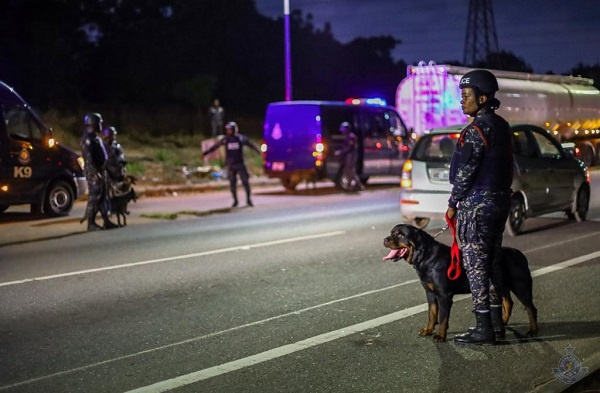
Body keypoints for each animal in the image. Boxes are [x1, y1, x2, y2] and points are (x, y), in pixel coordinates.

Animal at [384, 225, 540, 342]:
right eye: (391, 233)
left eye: (400, 235)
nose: (385, 239)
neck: (425, 256)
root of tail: (520, 254)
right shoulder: (430, 293)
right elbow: (432, 313)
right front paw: (428, 329)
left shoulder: (444, 295)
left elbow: (442, 317)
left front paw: (440, 335)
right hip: (500, 285)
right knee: (508, 303)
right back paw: (502, 322)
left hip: (521, 285)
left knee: (531, 308)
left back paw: (532, 331)